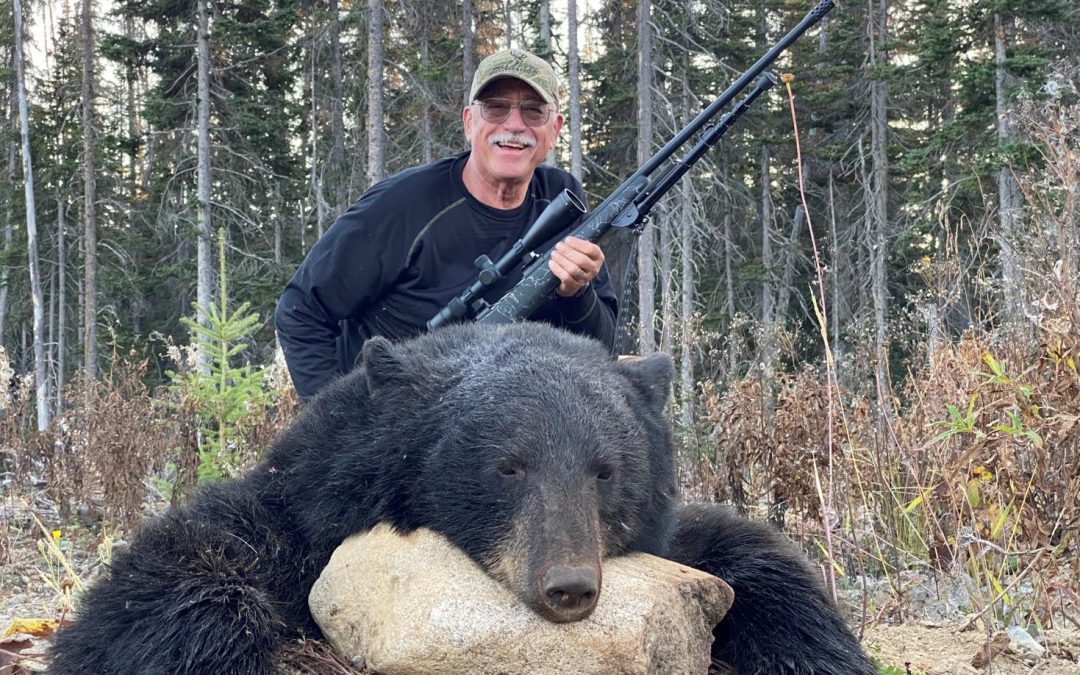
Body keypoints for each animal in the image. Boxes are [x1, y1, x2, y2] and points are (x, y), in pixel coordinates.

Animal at [48, 322, 875, 675]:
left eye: (604, 470)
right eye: (509, 467)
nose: (568, 584)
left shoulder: (670, 539)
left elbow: (758, 561)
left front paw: (814, 647)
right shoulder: (302, 506)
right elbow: (187, 572)